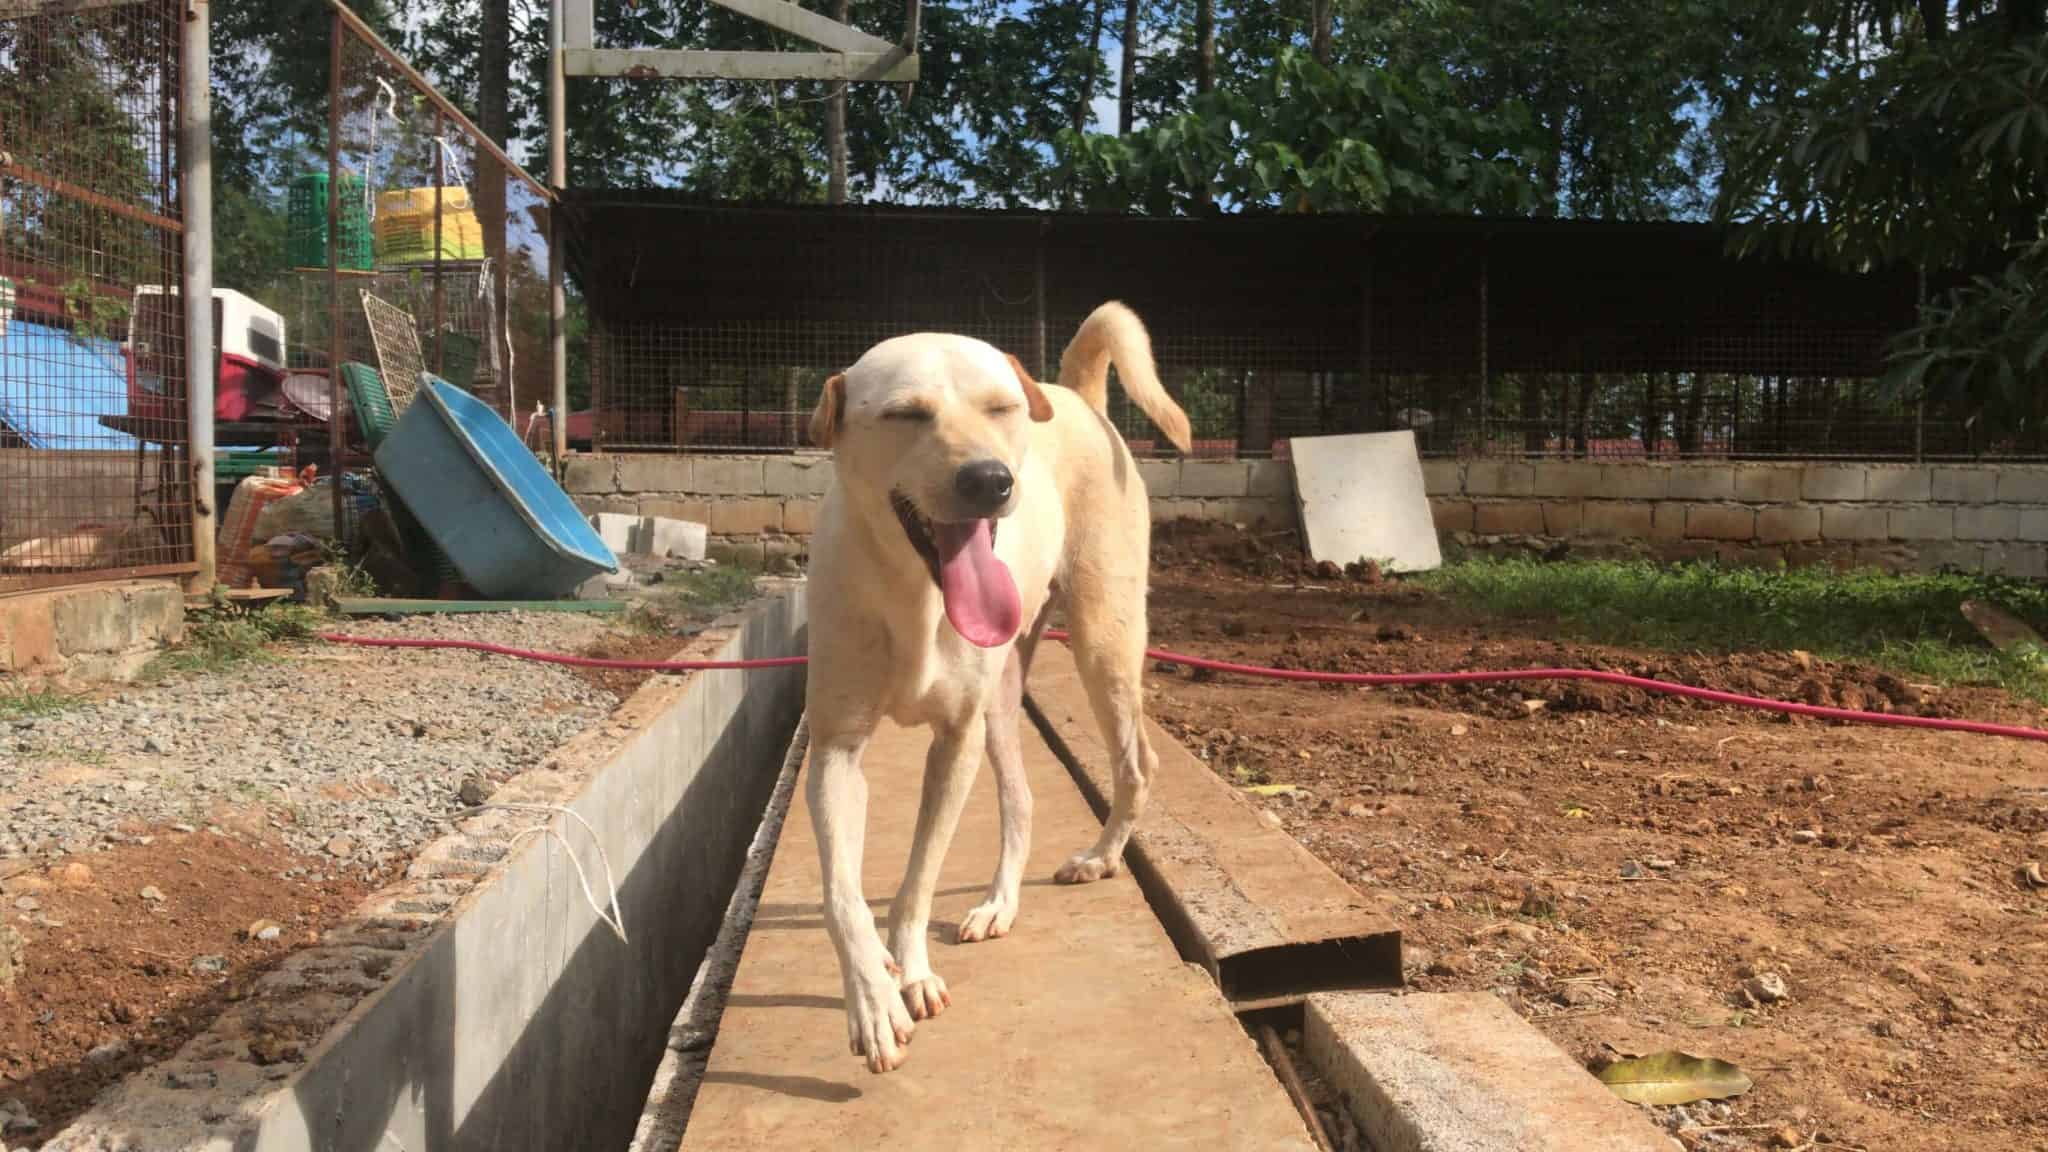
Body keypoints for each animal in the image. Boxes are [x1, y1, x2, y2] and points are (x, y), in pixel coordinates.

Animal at [794, 297, 1187, 1065]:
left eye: (1002, 408)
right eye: (907, 414)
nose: (990, 481)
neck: (915, 594)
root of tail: (1078, 398)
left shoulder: (954, 742)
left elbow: (918, 879)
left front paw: (911, 969)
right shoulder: (835, 751)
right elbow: (842, 893)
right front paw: (873, 994)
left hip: (1101, 644)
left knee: (1138, 763)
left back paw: (1101, 858)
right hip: (1003, 704)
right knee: (1023, 799)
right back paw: (1000, 903)